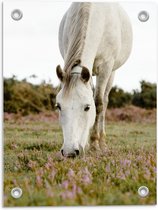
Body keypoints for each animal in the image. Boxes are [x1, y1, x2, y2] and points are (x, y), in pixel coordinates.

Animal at [55, 2, 132, 158]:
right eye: (58, 106)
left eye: (87, 107)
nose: (69, 152)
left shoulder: (106, 66)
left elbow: (99, 103)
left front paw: (95, 143)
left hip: (112, 71)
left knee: (105, 100)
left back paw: (102, 142)